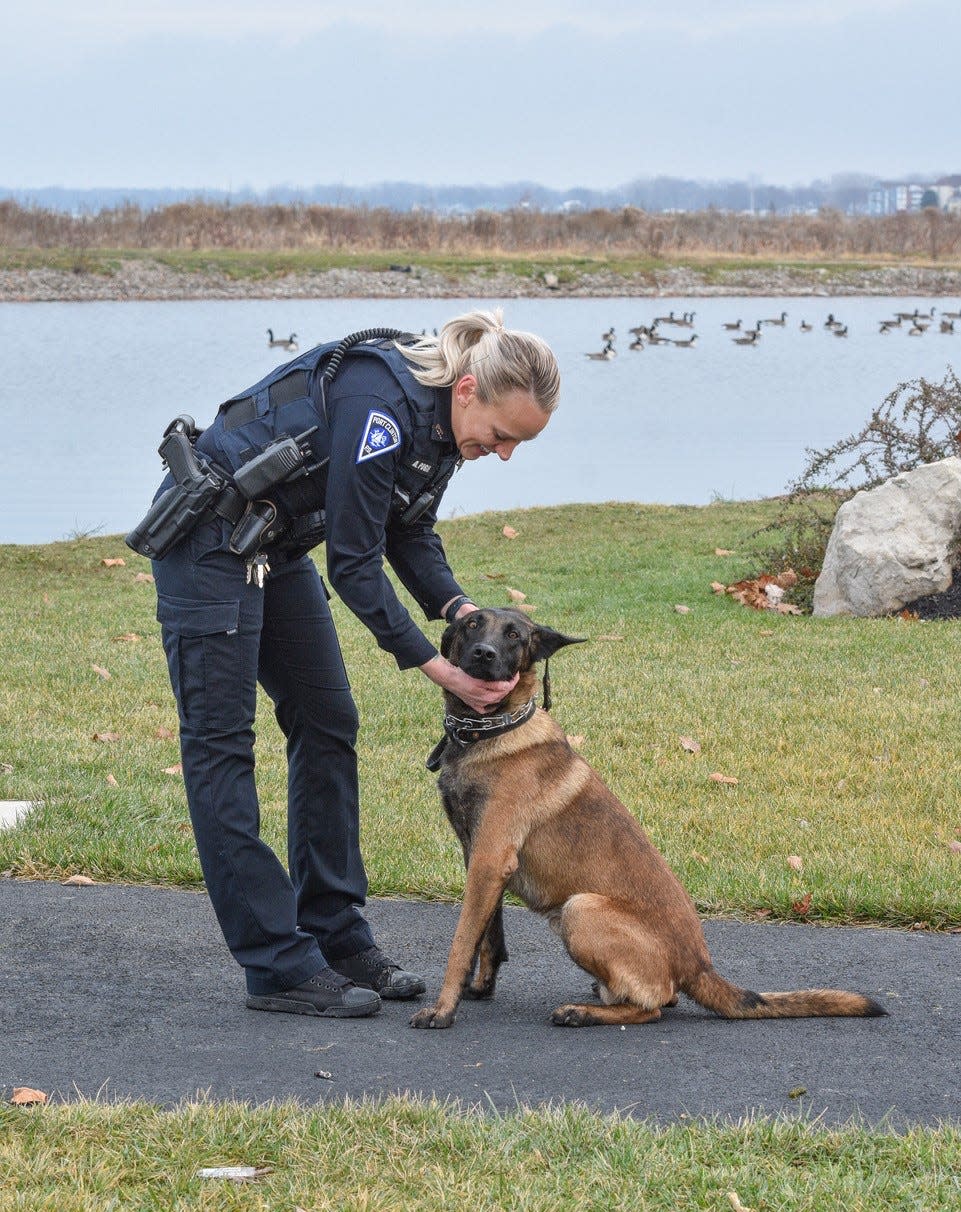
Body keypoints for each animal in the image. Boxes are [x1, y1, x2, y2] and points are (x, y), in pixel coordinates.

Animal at [409, 610, 887, 1027]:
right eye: (472, 624)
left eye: (513, 635)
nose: (483, 654)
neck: (493, 730)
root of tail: (699, 965)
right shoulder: (479, 857)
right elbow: (487, 936)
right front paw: (478, 988)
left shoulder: (491, 859)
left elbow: (460, 942)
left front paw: (443, 1010)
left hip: (580, 909)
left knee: (655, 1005)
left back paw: (583, 1012)